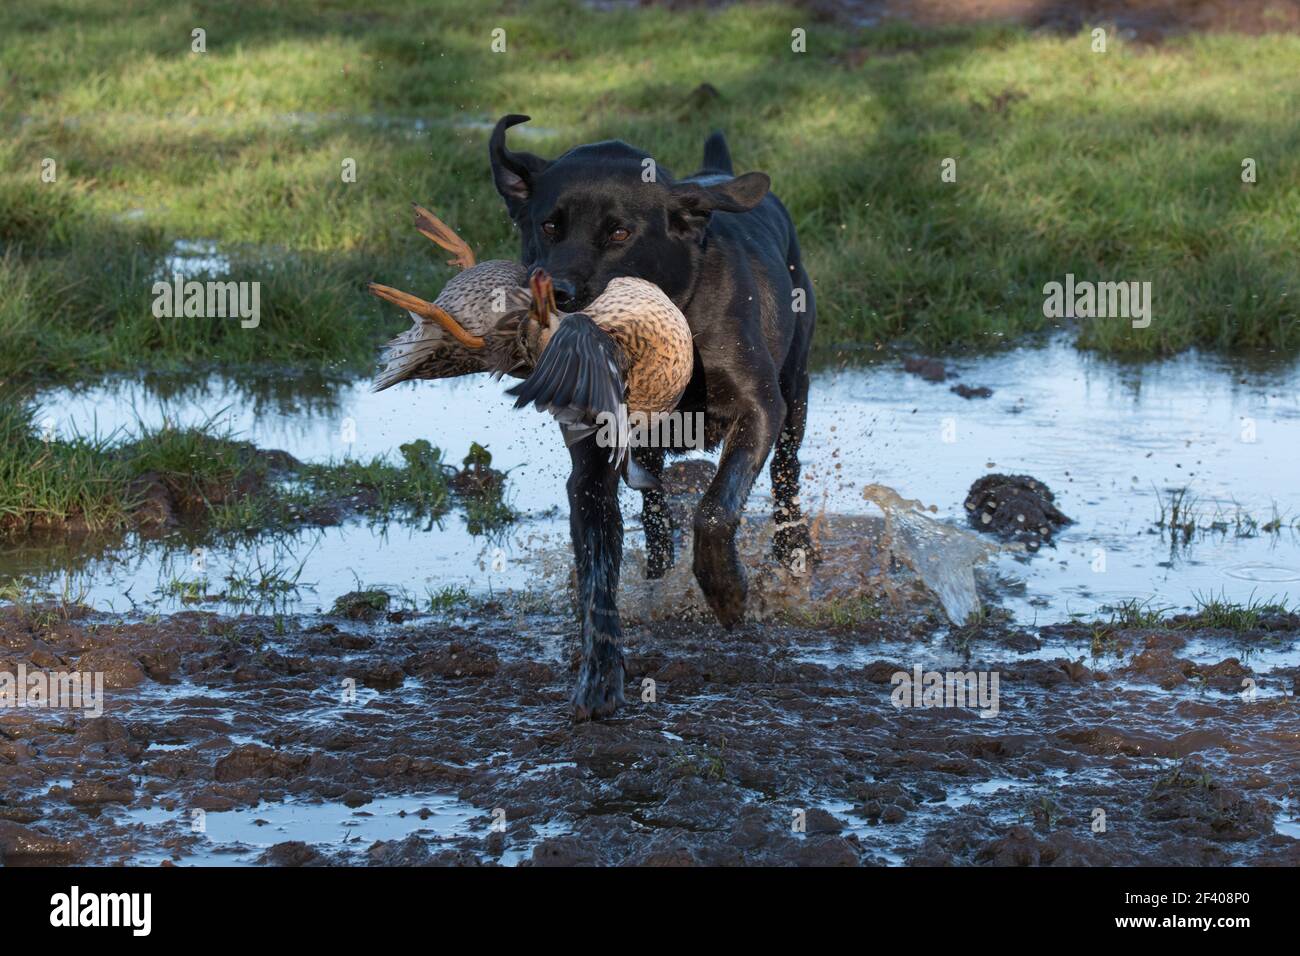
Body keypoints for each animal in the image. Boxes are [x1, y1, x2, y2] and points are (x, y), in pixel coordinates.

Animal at [488, 113, 811, 717]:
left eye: (619, 233)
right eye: (549, 226)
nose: (558, 294)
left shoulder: (760, 407)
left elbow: (716, 509)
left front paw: (726, 589)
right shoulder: (592, 464)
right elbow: (597, 573)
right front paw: (599, 677)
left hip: (797, 388)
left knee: (787, 473)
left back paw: (792, 549)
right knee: (655, 502)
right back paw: (660, 565)